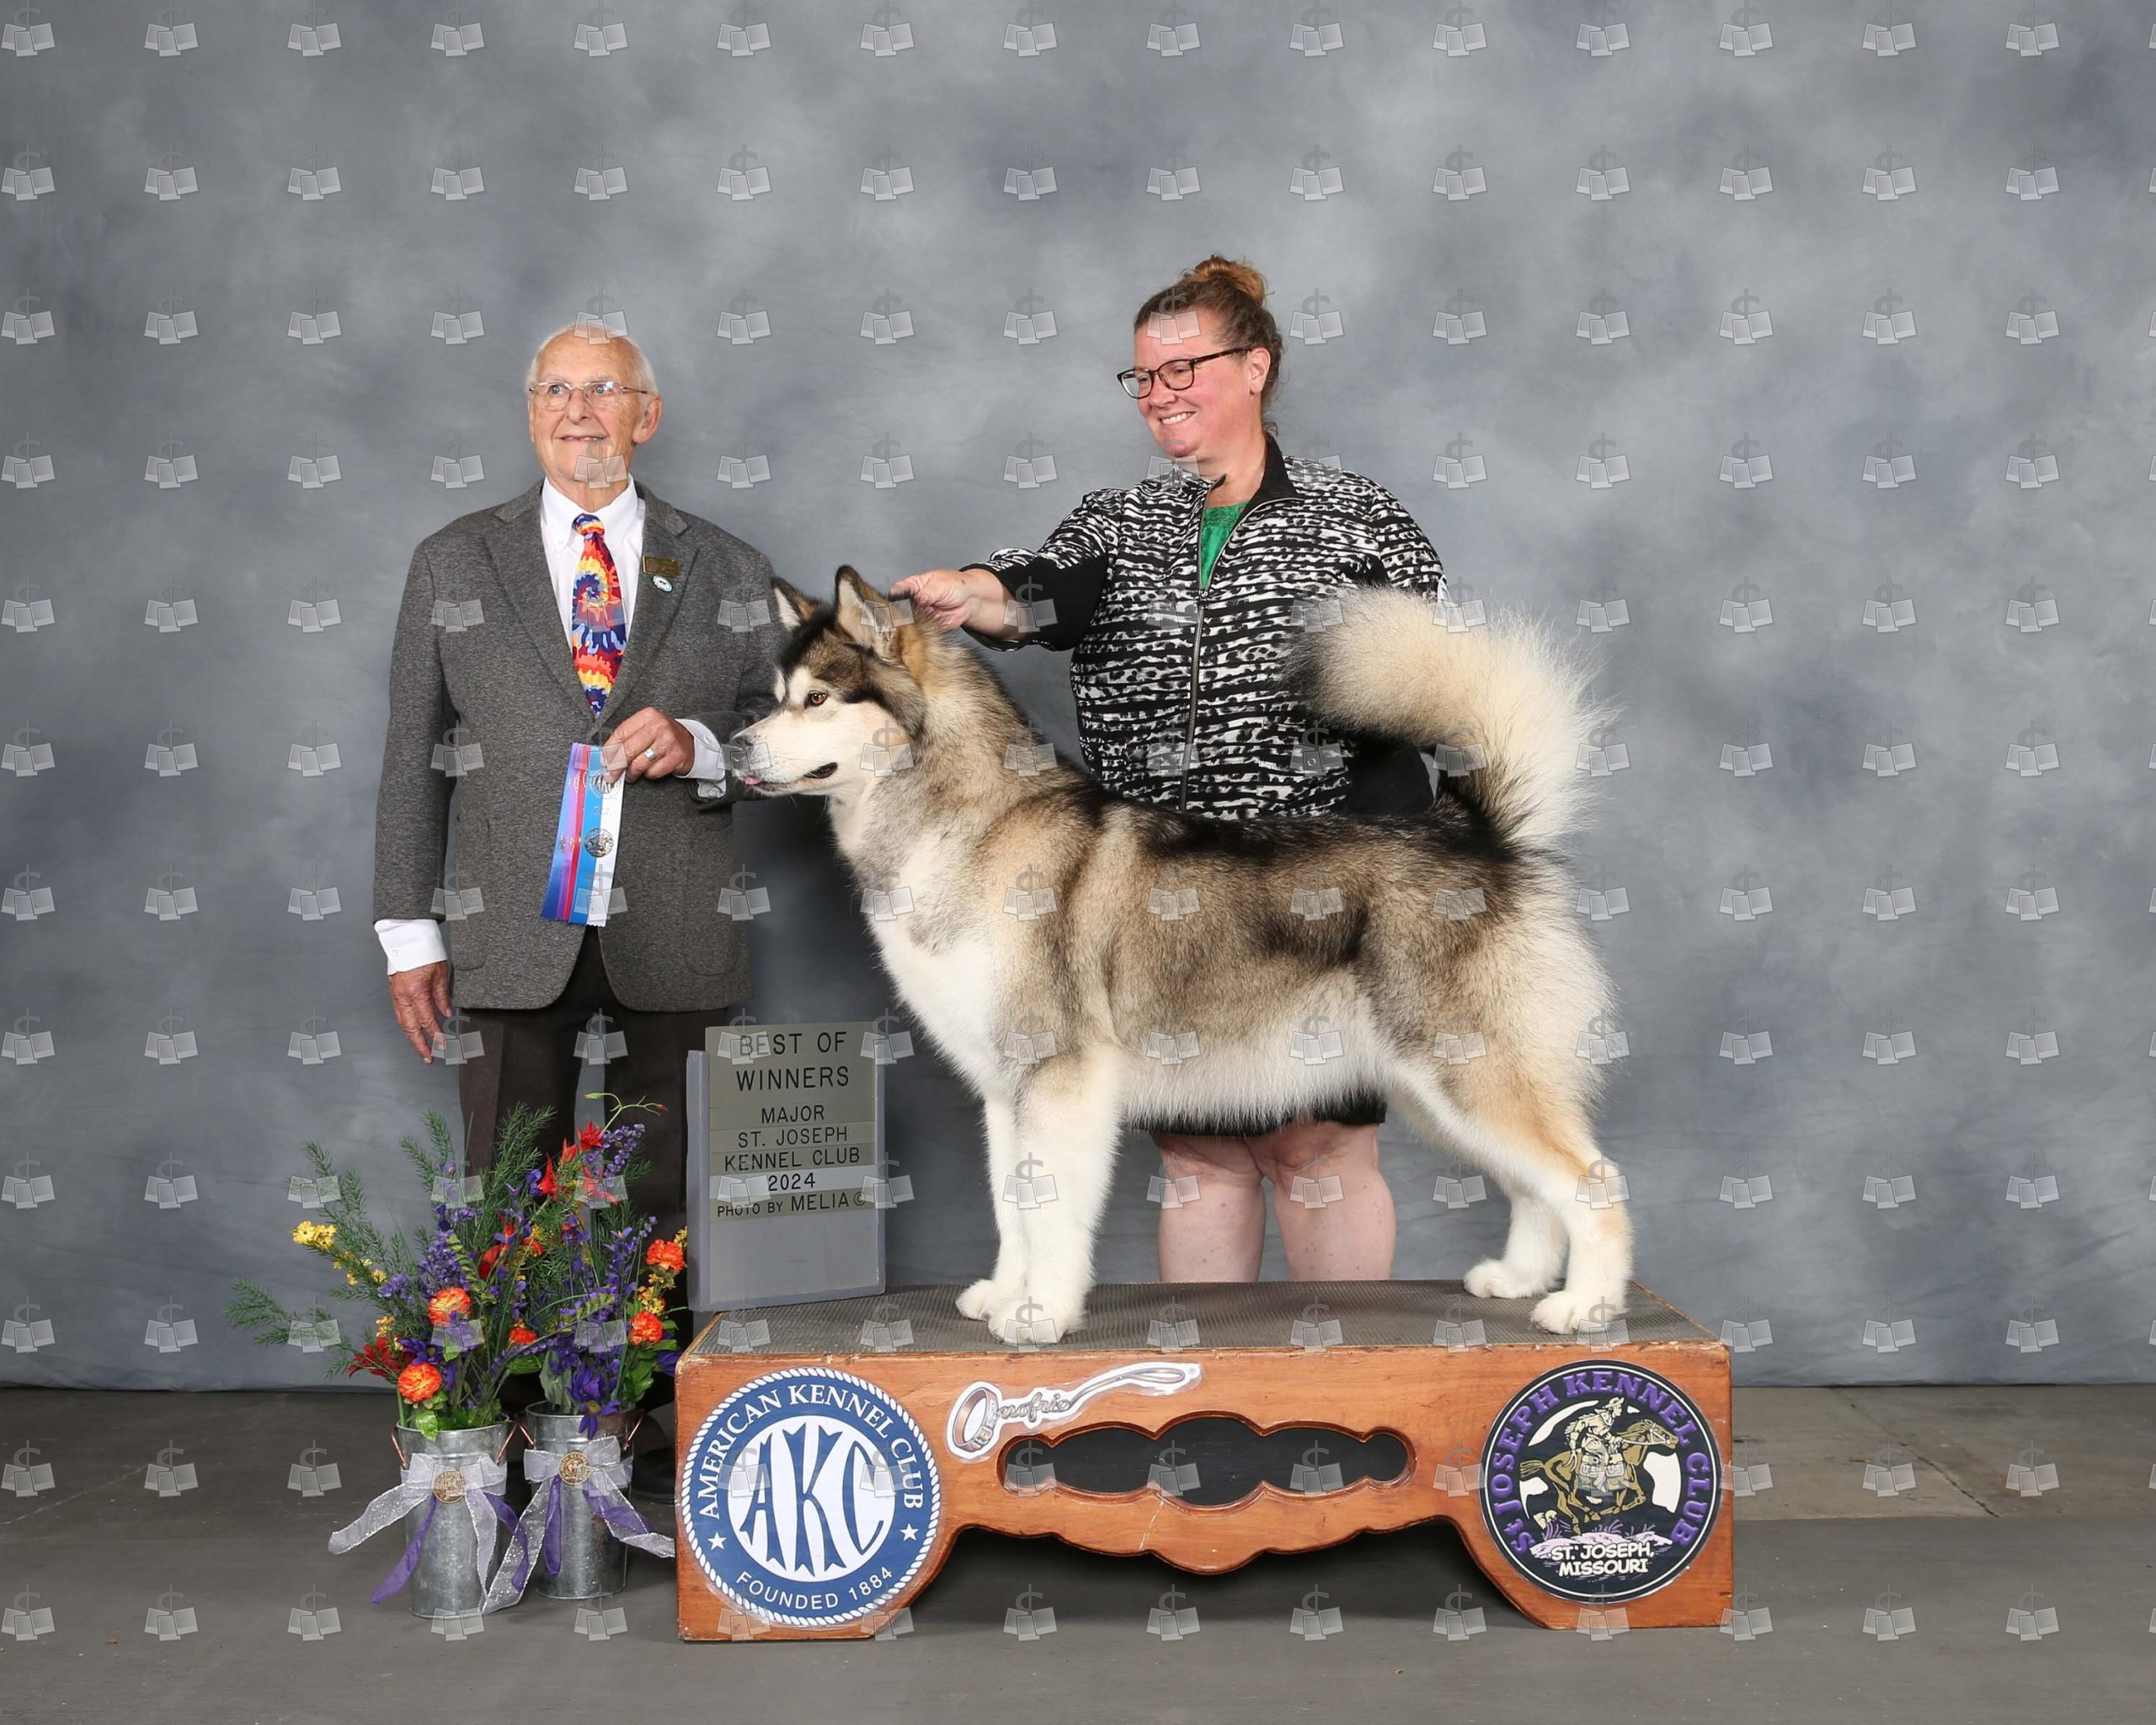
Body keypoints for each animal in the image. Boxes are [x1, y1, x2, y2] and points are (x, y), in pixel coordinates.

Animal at [732, 567, 1627, 1340]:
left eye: (816, 699)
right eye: (775, 701)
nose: (735, 746)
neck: (967, 825)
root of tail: (1470, 830)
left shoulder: (1062, 1080)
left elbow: (1050, 1212)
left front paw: (1043, 1314)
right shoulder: (1002, 1087)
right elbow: (1011, 1205)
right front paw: (1004, 1294)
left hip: (1465, 1072)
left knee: (1593, 1182)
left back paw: (1584, 1307)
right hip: (1435, 1091)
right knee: (1534, 1189)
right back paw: (1518, 1280)